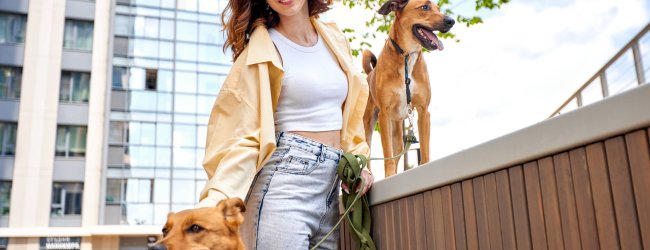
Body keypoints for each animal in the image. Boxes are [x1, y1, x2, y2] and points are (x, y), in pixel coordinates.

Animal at [362, 0, 454, 177]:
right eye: (425, 7)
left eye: (438, 8)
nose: (451, 21)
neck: (406, 55)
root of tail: (370, 74)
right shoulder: (384, 114)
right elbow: (387, 155)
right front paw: (389, 175)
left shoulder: (423, 111)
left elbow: (424, 148)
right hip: (369, 124)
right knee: (368, 155)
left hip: (398, 134)